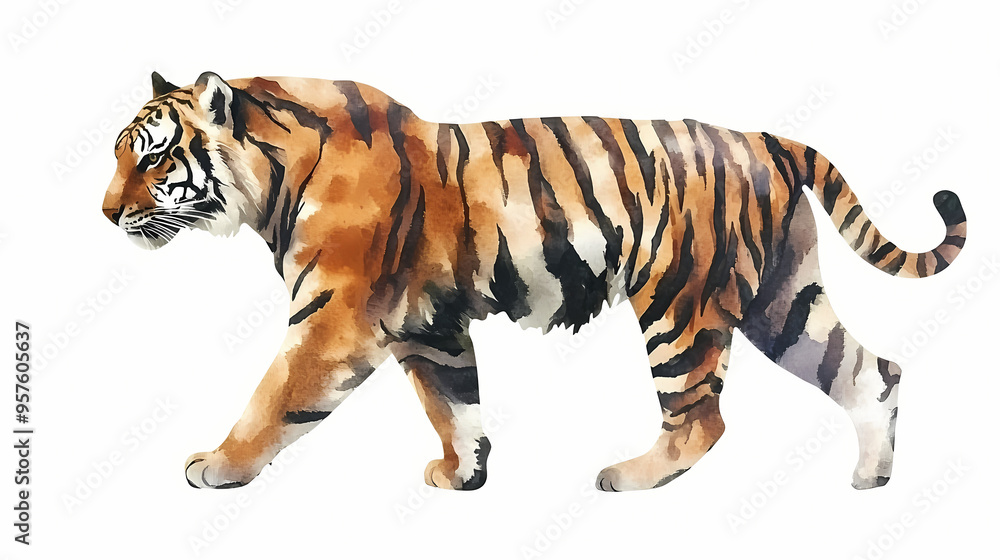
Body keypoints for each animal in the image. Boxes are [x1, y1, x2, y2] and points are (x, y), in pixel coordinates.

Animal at [102, 71, 966, 492]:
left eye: (152, 156)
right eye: (119, 154)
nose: (106, 213)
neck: (271, 176)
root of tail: (765, 138)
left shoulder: (333, 316)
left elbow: (275, 397)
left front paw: (217, 466)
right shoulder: (427, 323)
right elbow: (453, 402)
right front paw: (463, 474)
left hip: (680, 304)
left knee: (701, 418)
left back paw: (629, 478)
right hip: (785, 299)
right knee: (872, 371)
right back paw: (871, 478)